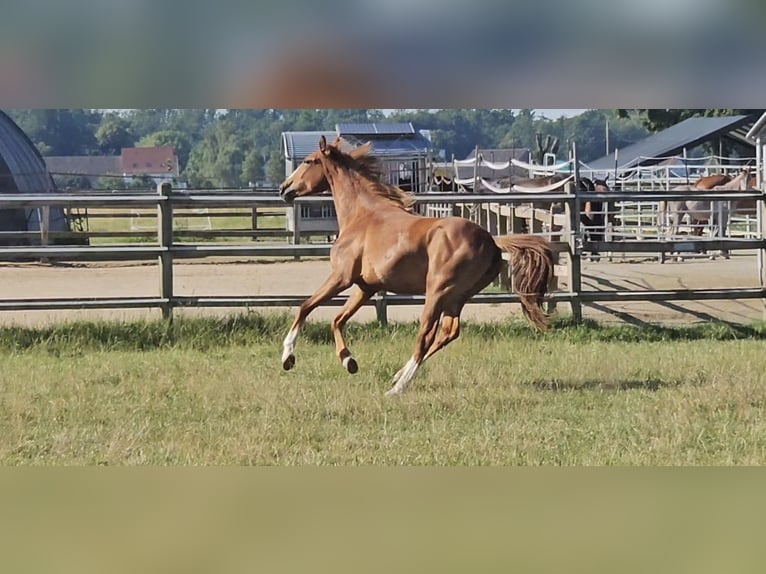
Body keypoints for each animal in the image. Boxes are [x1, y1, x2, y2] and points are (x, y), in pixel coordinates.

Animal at [278, 136, 555, 396]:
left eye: (308, 161)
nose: (284, 188)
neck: (362, 216)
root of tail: (492, 242)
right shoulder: (366, 287)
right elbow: (337, 319)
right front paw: (349, 362)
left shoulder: (341, 277)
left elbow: (305, 307)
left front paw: (288, 357)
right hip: (457, 297)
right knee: (449, 332)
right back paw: (397, 375)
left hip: (437, 291)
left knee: (426, 335)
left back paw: (398, 387)